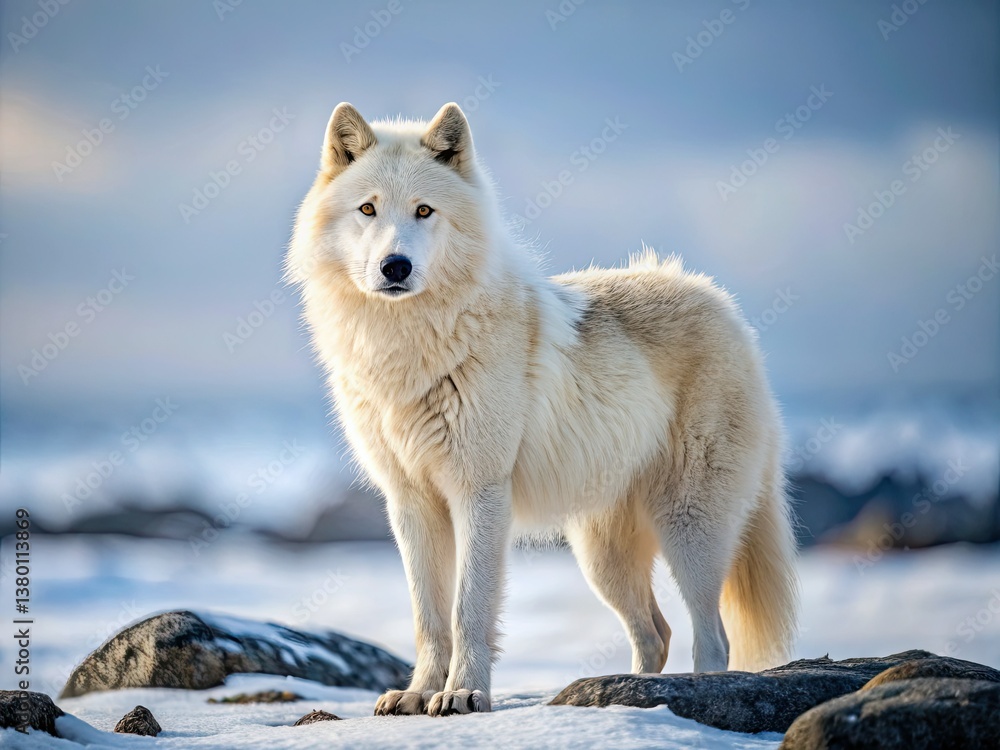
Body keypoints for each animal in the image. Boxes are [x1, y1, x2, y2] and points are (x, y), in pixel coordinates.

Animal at [287, 102, 799, 717]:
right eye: (367, 209)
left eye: (424, 211)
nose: (395, 266)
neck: (408, 352)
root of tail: (723, 305)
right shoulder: (409, 502)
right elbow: (428, 618)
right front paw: (417, 695)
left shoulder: (480, 492)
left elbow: (468, 611)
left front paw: (464, 694)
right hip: (602, 558)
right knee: (656, 633)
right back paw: (630, 696)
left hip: (689, 528)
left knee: (713, 636)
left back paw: (694, 695)